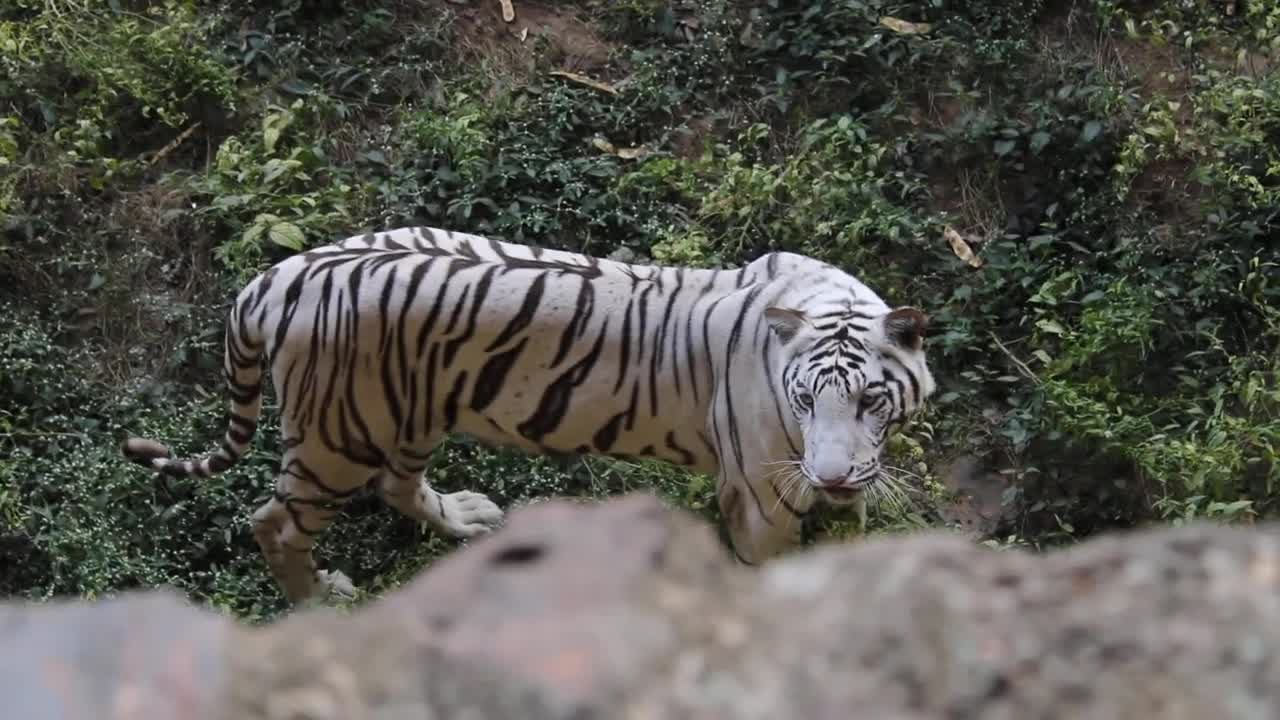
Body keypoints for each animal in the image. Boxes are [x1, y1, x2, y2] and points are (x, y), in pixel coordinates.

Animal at [124, 226, 936, 602]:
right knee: (276, 522)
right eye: (804, 399)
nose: (830, 477)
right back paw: (319, 601)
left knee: (396, 484)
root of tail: (277, 275)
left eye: (870, 399)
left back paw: (467, 520)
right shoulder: (761, 501)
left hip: (410, 408)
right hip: (338, 437)